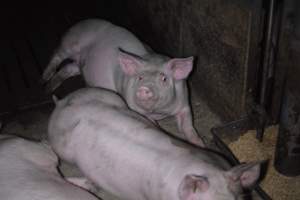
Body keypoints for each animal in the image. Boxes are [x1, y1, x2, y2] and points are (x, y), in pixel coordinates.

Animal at [42, 18, 205, 147]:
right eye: (140, 78)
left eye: (163, 78)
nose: (144, 88)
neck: (159, 112)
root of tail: (83, 21)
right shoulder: (133, 106)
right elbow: (151, 123)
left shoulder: (184, 102)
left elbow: (188, 125)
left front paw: (200, 144)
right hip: (70, 42)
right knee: (56, 56)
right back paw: (43, 80)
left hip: (78, 64)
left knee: (67, 68)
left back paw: (49, 87)